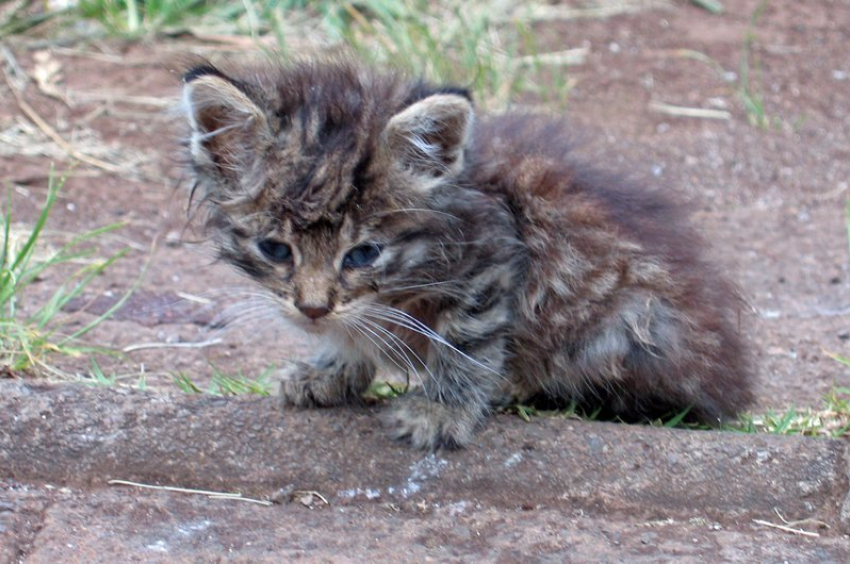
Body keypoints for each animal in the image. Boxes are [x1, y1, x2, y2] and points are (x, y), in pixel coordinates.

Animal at [182, 55, 752, 448]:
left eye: (363, 254)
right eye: (276, 249)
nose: (312, 309)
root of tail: (730, 379)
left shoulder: (492, 258)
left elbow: (465, 342)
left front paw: (441, 410)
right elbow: (356, 331)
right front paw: (330, 371)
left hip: (631, 319)